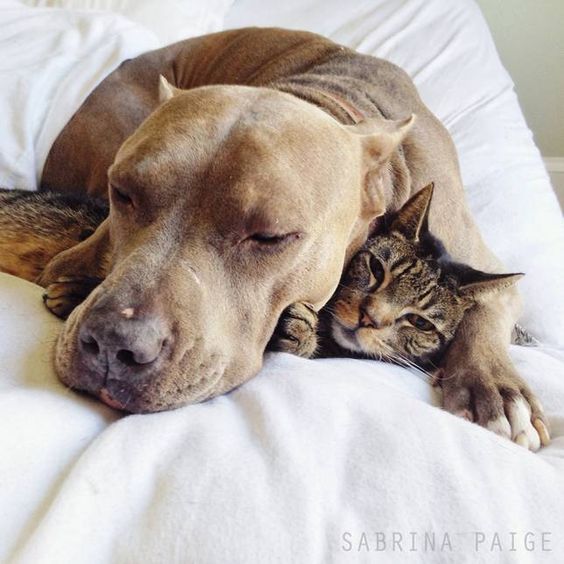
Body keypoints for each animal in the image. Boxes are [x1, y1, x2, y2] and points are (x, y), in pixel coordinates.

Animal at [27, 29, 548, 450]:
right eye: (123, 192)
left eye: (270, 236)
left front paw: (494, 387)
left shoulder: (480, 261)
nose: (113, 345)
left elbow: (488, 304)